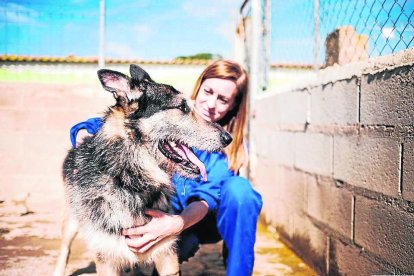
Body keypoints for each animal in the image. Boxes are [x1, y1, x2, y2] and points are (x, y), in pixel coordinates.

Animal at [53, 63, 233, 274]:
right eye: (182, 107)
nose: (228, 138)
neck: (129, 179)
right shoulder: (106, 258)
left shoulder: (166, 254)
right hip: (72, 222)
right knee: (64, 249)